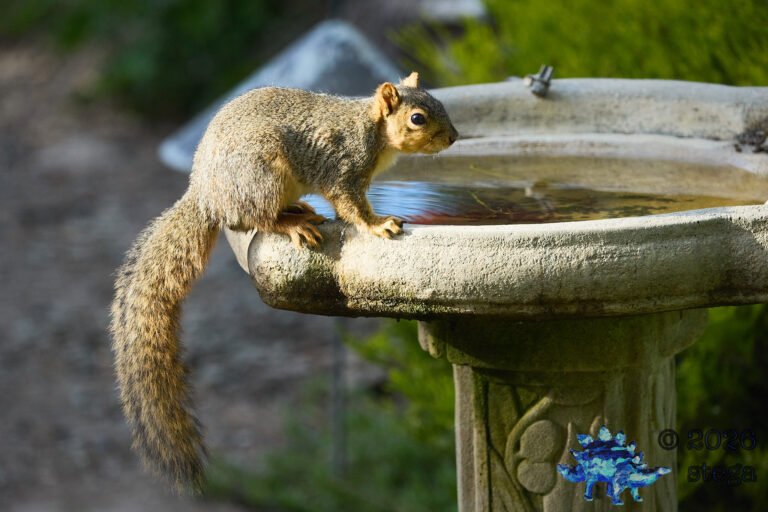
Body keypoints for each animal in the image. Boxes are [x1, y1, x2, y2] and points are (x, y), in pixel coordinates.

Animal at [110, 71, 458, 493]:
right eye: (418, 118)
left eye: (439, 102)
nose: (454, 137)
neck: (371, 129)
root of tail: (207, 195)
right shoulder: (342, 170)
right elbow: (352, 208)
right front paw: (379, 225)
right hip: (263, 174)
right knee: (254, 219)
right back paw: (293, 223)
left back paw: (301, 209)